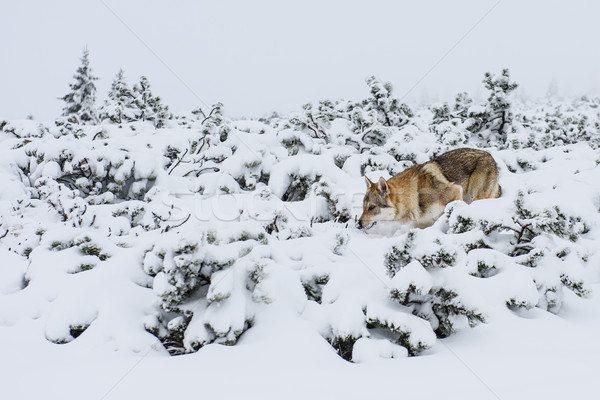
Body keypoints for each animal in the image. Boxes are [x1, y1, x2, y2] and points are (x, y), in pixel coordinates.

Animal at [356, 148, 502, 230]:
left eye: (371, 207)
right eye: (363, 207)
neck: (415, 195)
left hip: (474, 196)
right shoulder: (422, 223)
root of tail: (491, 156)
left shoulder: (455, 192)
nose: (358, 224)